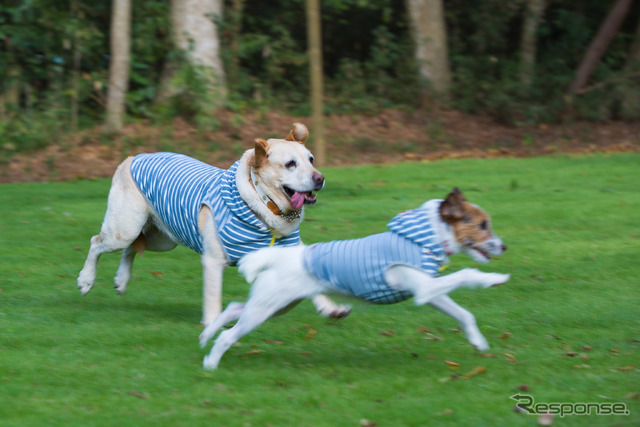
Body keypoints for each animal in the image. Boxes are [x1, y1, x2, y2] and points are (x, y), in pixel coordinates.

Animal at [79, 123, 350, 324]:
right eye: (290, 164)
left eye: (311, 159)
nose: (320, 178)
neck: (265, 209)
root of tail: (132, 158)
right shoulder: (213, 260)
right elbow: (212, 297)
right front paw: (211, 325)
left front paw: (330, 308)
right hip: (124, 228)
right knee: (96, 242)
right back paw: (86, 280)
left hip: (162, 238)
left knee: (131, 249)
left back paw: (121, 280)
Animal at [200, 188, 510, 372]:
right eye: (483, 225)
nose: (504, 247)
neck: (426, 238)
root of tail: (279, 258)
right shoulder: (425, 288)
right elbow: (467, 274)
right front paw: (494, 278)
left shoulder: (430, 292)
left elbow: (464, 314)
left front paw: (478, 343)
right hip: (265, 308)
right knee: (229, 333)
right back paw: (211, 362)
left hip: (276, 305)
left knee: (234, 308)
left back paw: (205, 336)